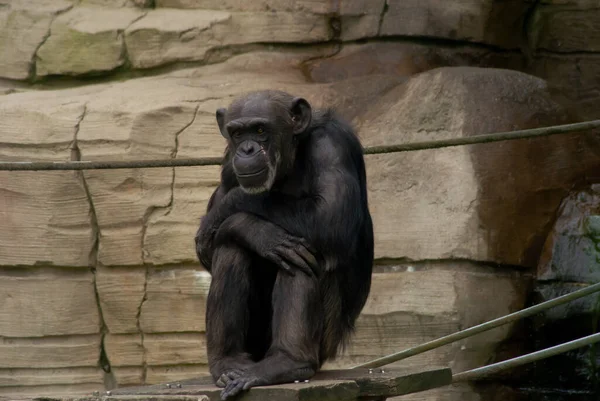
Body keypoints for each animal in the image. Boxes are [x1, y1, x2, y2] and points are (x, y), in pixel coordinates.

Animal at [197, 89, 372, 398]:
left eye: (260, 130)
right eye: (237, 133)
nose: (247, 149)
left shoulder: (331, 147)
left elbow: (330, 216)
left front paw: (222, 216)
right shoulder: (228, 162)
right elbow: (210, 248)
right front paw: (259, 233)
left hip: (326, 341)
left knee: (308, 251)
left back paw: (288, 361)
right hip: (255, 344)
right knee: (231, 247)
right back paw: (227, 361)